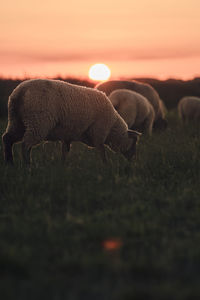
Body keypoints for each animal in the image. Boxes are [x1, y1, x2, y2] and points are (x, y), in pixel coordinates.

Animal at [2, 78, 141, 165]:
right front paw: (106, 166)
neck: (112, 127)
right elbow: (102, 152)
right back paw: (27, 165)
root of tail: (19, 92)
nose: (134, 161)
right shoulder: (98, 133)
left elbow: (65, 151)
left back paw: (10, 163)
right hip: (38, 122)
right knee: (25, 145)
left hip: (17, 121)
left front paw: (63, 166)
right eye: (134, 143)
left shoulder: (67, 136)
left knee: (7, 139)